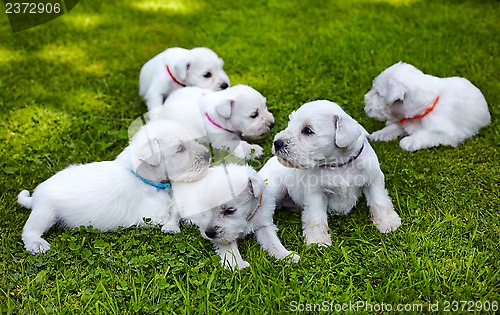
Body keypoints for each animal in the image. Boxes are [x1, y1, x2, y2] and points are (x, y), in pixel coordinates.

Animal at [18, 119, 210, 256]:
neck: (141, 177)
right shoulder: (151, 216)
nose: (208, 155)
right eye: (180, 149)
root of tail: (35, 197)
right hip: (46, 212)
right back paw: (37, 245)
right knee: (29, 230)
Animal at [170, 164, 298, 270]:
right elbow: (230, 249)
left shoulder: (264, 224)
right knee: (174, 213)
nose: (208, 233)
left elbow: (272, 241)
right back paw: (171, 227)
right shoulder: (224, 236)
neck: (247, 219)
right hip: (179, 204)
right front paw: (237, 264)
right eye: (206, 208)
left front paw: (286, 255)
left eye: (230, 211)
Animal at [258, 101, 402, 247]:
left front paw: (388, 223)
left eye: (308, 130)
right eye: (290, 124)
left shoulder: (373, 180)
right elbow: (316, 217)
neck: (339, 164)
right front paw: (317, 241)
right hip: (276, 189)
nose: (277, 143)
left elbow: (379, 201)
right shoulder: (316, 193)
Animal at [362, 62, 490, 152]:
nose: (365, 98)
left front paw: (408, 141)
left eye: (378, 93)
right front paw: (379, 134)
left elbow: (423, 134)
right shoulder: (402, 121)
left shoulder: (447, 134)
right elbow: (393, 127)